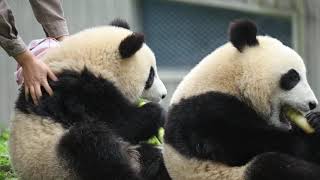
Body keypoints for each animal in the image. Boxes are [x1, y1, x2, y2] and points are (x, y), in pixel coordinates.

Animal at [8, 19, 171, 180]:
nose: (164, 95)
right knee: (91, 144)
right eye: (151, 76)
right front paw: (158, 113)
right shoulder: (76, 94)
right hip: (54, 162)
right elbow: (119, 123)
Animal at [165, 19, 320, 179]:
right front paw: (312, 140)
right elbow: (241, 142)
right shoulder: (204, 111)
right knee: (269, 165)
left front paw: (315, 119)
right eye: (293, 77)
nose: (312, 104)